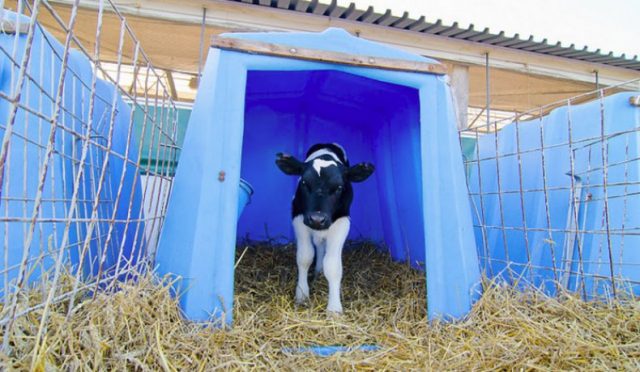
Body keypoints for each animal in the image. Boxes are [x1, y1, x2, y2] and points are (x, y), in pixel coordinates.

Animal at [276, 144, 376, 312]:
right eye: (304, 183)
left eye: (339, 187)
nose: (317, 219)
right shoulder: (298, 218)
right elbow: (304, 257)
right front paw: (302, 294)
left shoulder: (342, 223)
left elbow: (333, 265)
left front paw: (334, 308)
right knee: (319, 245)